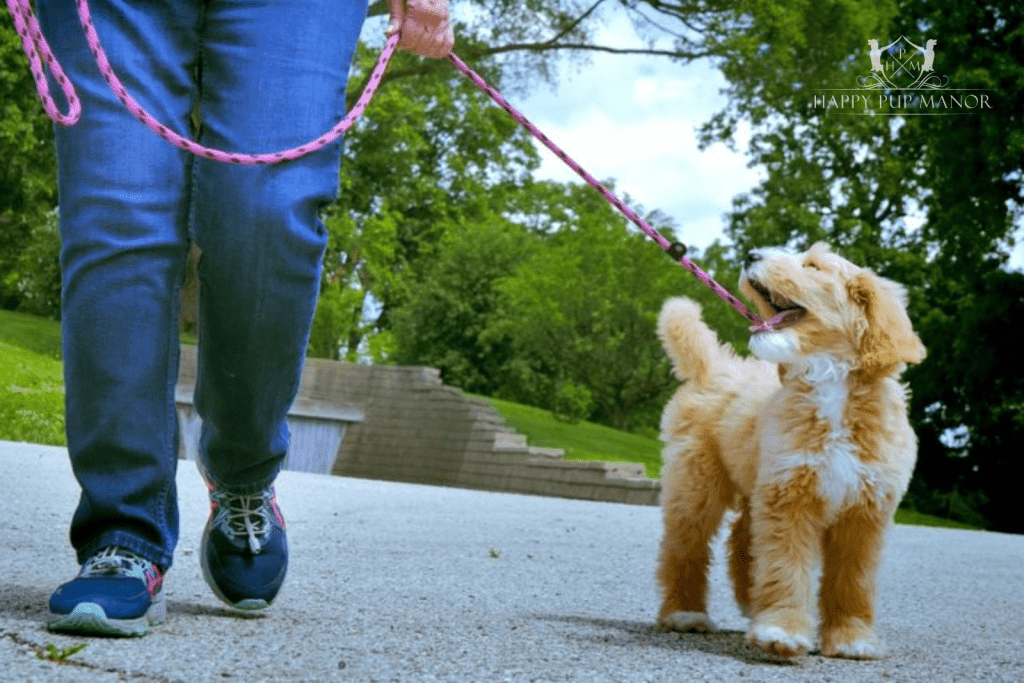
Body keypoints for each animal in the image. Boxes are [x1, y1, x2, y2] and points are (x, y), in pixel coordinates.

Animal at [655, 242, 929, 659]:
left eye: (813, 265)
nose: (751, 254)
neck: (831, 383)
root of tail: (714, 366)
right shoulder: (790, 495)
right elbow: (786, 565)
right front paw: (781, 630)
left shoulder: (864, 511)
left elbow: (854, 578)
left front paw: (852, 638)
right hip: (695, 484)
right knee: (685, 547)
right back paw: (685, 613)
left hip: (753, 479)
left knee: (741, 535)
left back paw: (749, 601)